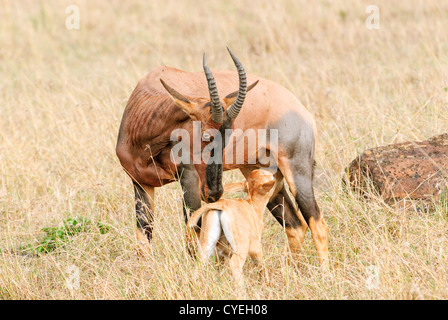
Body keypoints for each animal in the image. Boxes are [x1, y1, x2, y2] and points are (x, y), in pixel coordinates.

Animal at [114, 47, 328, 266]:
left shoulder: (189, 179)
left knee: (317, 223)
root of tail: (302, 111)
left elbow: (194, 235)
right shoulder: (141, 183)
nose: (215, 193)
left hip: (296, 169)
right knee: (295, 225)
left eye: (227, 138)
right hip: (261, 175)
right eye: (206, 136)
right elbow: (144, 238)